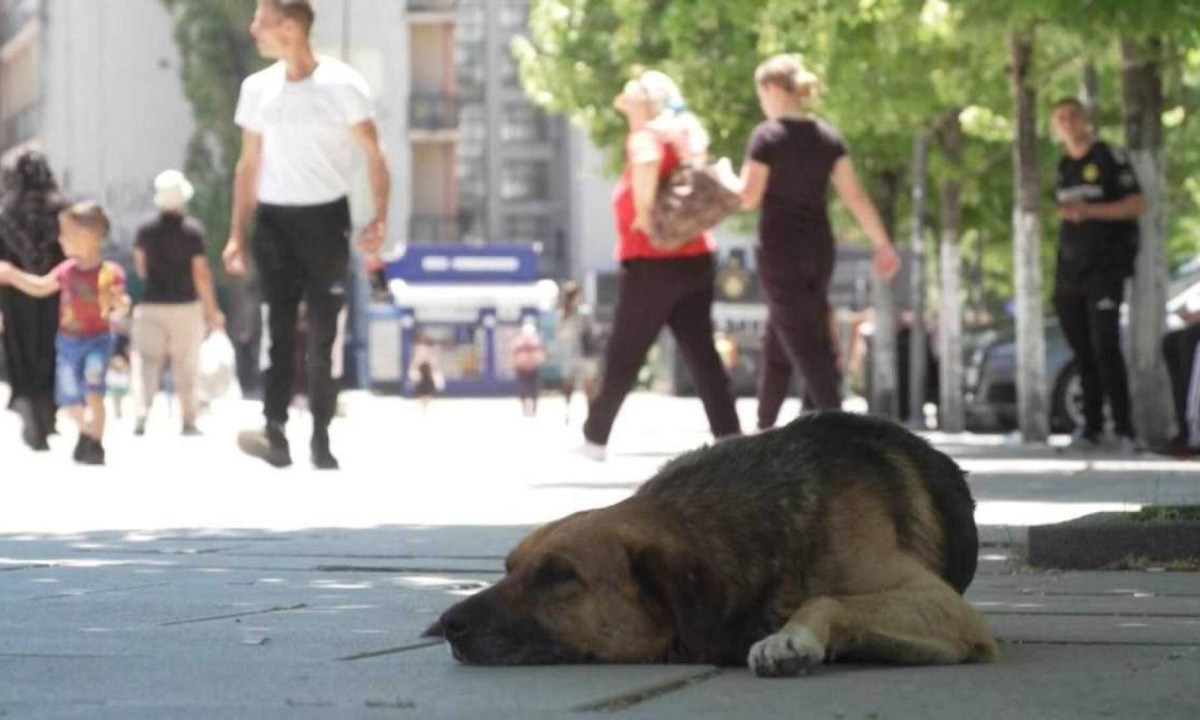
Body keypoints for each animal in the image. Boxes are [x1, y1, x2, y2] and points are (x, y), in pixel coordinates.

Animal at [427, 410, 998, 676]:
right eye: (508, 568)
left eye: (559, 575)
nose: (449, 623)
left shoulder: (946, 608)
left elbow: (827, 598)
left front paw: (791, 638)